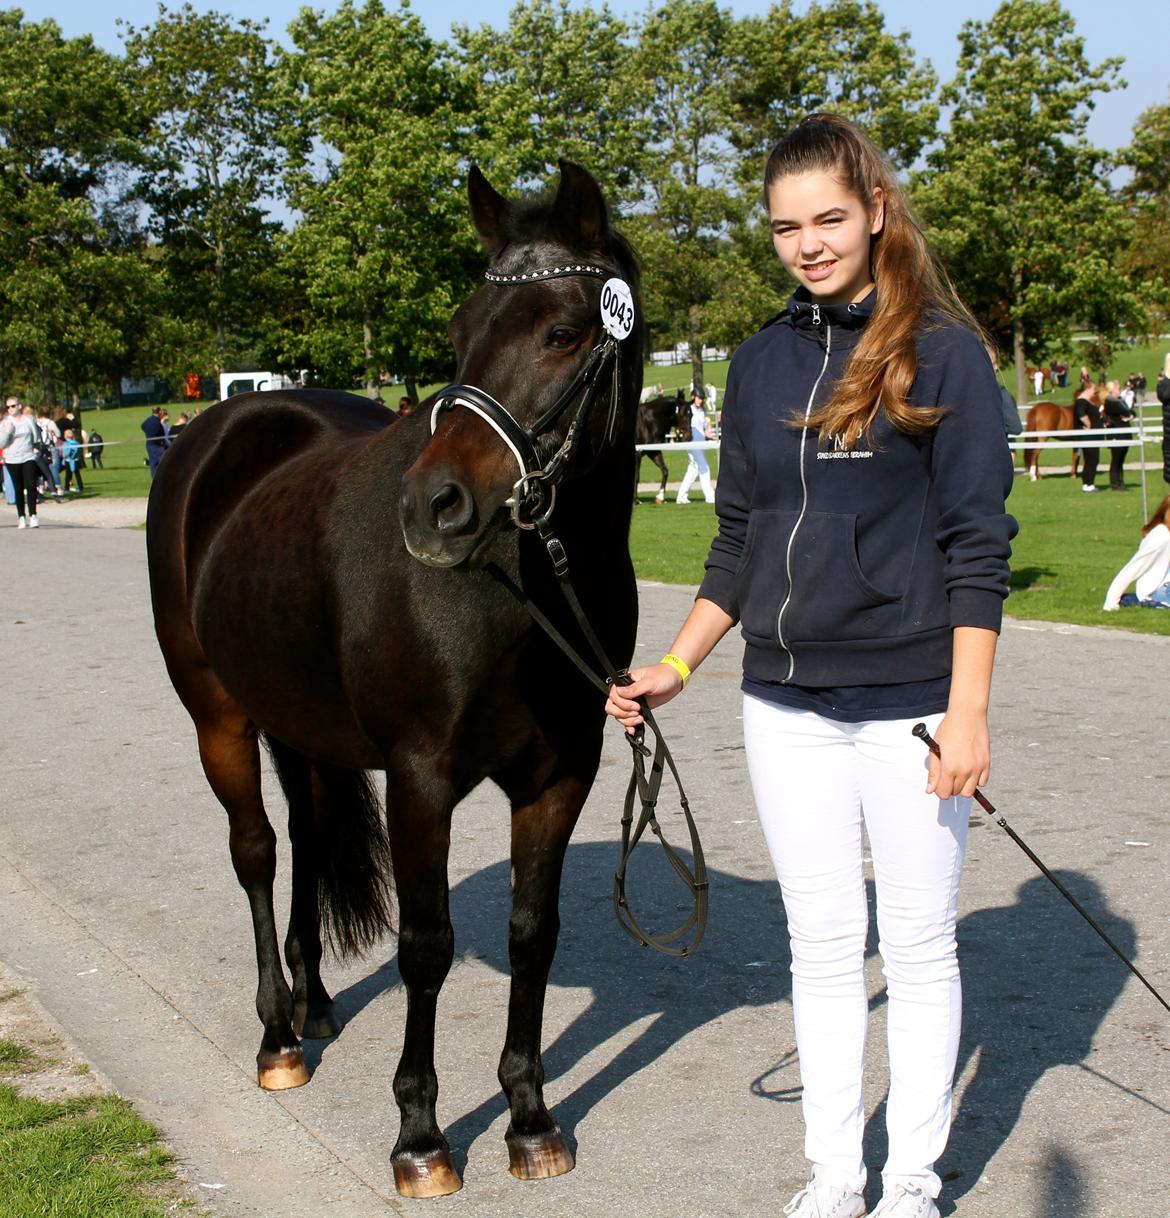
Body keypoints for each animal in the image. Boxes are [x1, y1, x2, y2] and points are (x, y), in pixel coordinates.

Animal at [146, 161, 642, 1198]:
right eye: (459, 330)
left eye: (562, 331)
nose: (435, 506)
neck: (518, 592)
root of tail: (221, 428)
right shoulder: (421, 780)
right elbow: (426, 946)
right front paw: (420, 1133)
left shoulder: (560, 776)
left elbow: (532, 932)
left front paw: (530, 1118)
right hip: (219, 717)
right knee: (256, 850)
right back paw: (277, 1034)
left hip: (299, 723)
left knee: (305, 834)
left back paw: (314, 998)